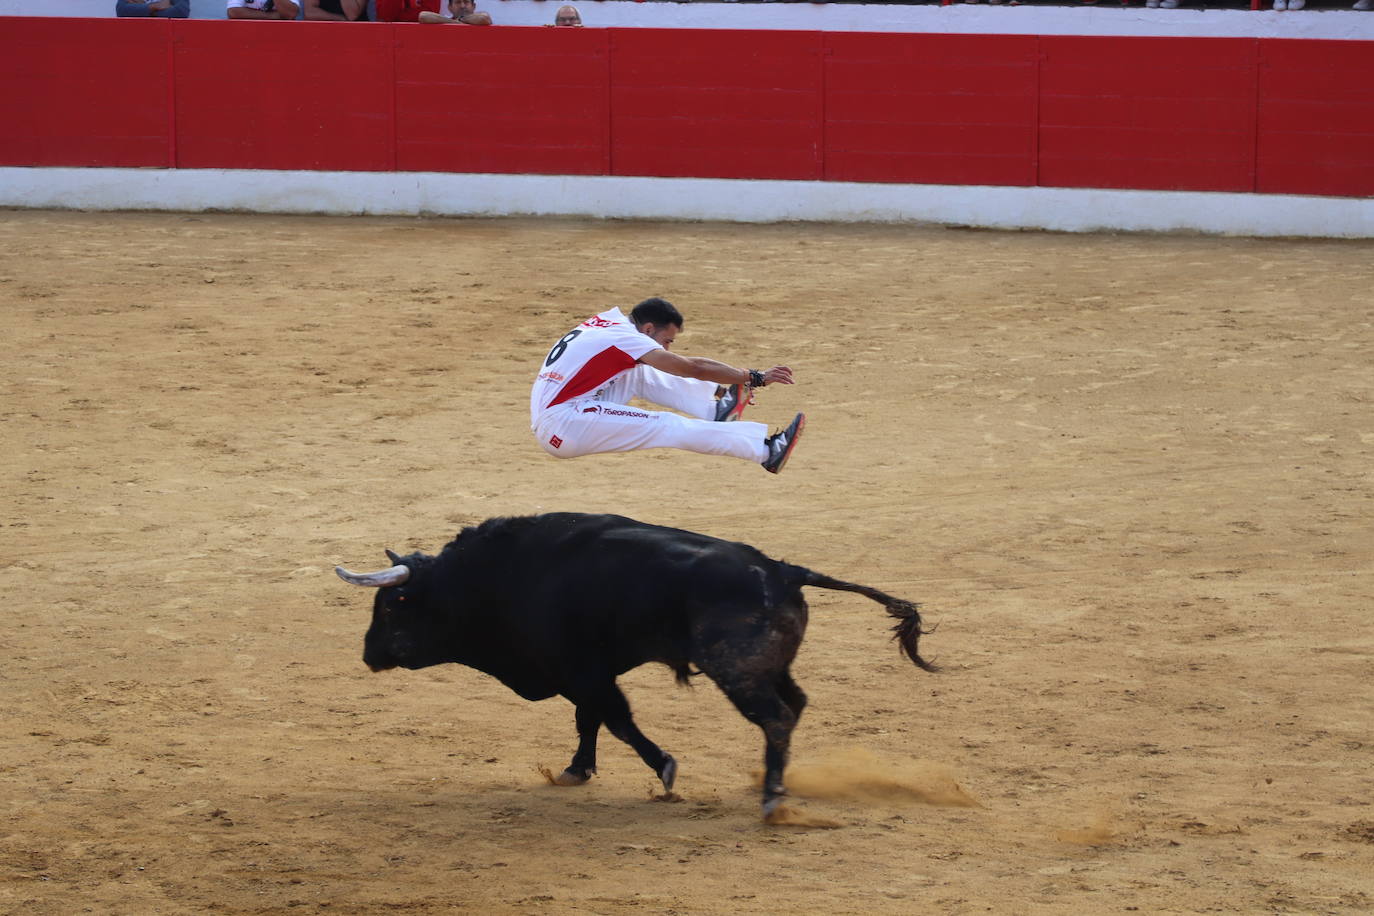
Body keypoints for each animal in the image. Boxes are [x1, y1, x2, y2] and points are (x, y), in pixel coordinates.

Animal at [332, 513, 934, 818]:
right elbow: (590, 720)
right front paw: (577, 769)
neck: (493, 577)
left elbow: (616, 720)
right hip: (768, 667)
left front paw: (665, 769)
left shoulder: (581, 671)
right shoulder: (587, 671)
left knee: (777, 717)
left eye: (394, 603)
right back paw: (775, 782)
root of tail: (782, 569)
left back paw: (771, 798)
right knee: (796, 705)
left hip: (736, 670)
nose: (367, 654)